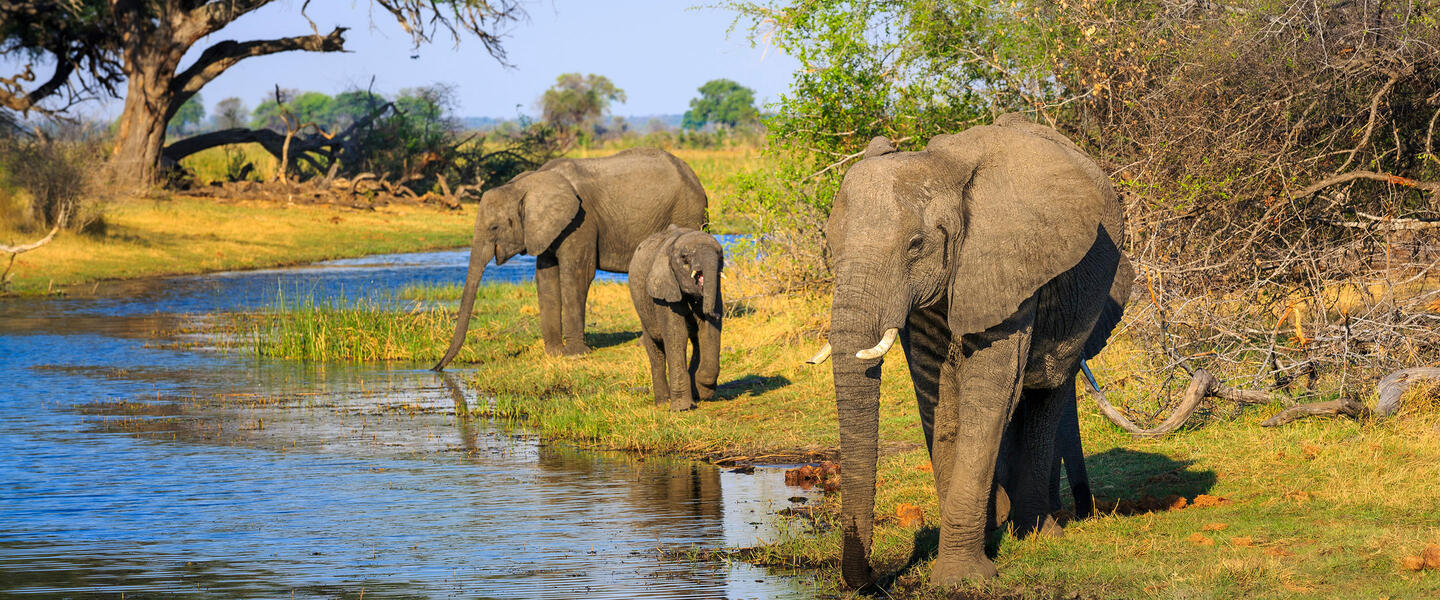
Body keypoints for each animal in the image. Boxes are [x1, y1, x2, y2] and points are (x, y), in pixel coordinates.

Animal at [434, 148, 711, 368]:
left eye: (494, 228)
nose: (436, 368)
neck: (525, 184)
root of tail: (694, 176)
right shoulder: (546, 229)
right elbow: (546, 278)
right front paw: (555, 354)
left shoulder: (581, 221)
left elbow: (576, 275)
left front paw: (577, 354)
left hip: (687, 212)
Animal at [627, 224, 725, 411]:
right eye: (684, 257)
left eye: (721, 255)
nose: (715, 314)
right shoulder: (664, 290)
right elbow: (676, 335)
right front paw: (682, 408)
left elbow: (709, 331)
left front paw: (703, 391)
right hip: (643, 311)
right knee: (656, 350)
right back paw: (663, 402)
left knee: (697, 341)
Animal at [817, 115, 1128, 584]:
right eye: (831, 247)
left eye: (915, 245)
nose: (870, 580)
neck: (943, 169)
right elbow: (940, 397)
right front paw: (978, 546)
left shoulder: (1009, 259)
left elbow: (989, 390)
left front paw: (960, 578)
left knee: (1045, 395)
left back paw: (1038, 532)